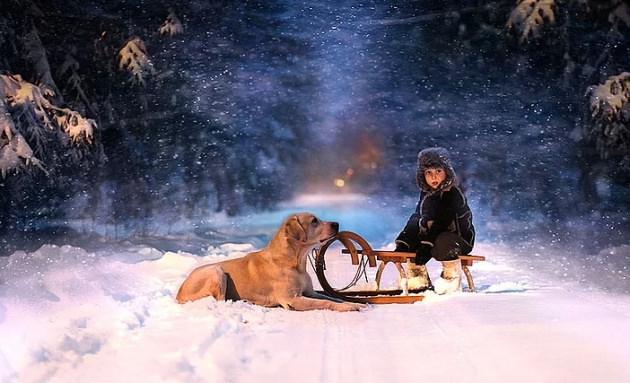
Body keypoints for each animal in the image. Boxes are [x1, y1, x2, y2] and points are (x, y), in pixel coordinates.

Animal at [177, 213, 366, 312]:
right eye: (314, 221)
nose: (336, 223)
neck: (295, 262)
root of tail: (179, 293)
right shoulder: (292, 299)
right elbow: (325, 302)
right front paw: (347, 307)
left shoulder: (310, 293)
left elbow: (331, 297)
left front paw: (353, 302)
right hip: (217, 271)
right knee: (221, 301)